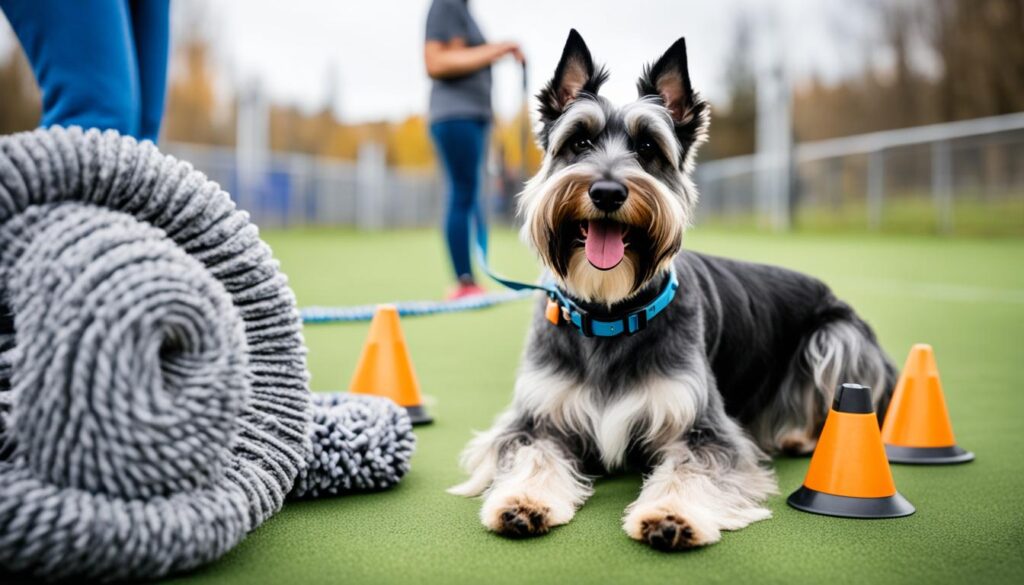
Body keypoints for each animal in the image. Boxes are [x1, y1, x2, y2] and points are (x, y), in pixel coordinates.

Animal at [448, 29, 897, 553]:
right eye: (579, 141)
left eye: (648, 147)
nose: (607, 192)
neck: (610, 315)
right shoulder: (536, 420)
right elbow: (531, 456)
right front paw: (522, 502)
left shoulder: (703, 429)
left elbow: (692, 470)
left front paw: (671, 514)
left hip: (836, 338)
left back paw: (799, 437)